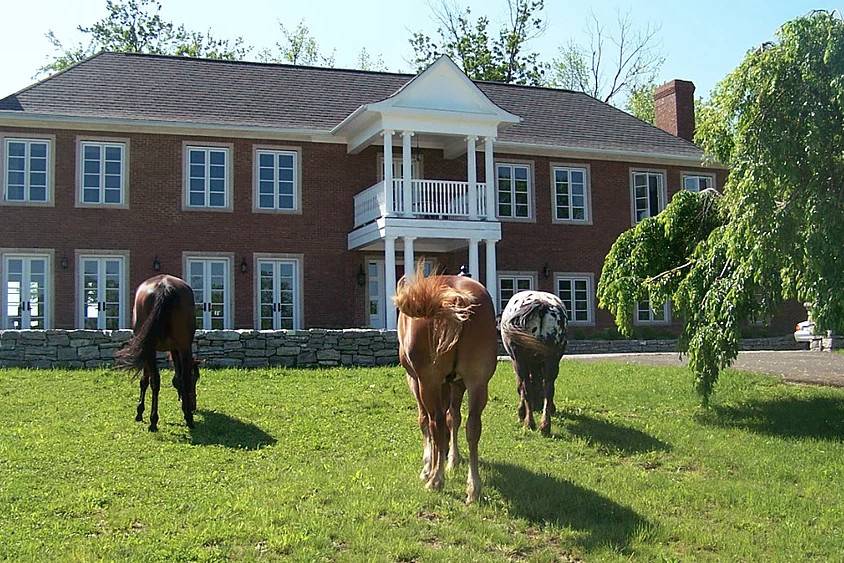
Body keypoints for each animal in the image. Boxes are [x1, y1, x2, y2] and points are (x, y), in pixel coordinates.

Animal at [115, 276, 201, 434]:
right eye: (195, 379)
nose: (194, 406)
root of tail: (164, 286)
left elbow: (145, 380)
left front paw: (140, 411)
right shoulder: (173, 349)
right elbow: (178, 379)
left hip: (157, 348)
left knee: (156, 381)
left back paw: (156, 420)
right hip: (184, 347)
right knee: (180, 379)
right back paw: (187, 418)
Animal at [396, 264, 502, 506]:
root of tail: (455, 297)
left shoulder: (416, 380)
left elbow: (426, 422)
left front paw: (429, 466)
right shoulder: (456, 383)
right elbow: (454, 418)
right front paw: (451, 458)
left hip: (428, 382)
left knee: (435, 422)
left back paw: (436, 479)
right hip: (477, 383)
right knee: (472, 427)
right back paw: (473, 488)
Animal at [502, 290, 568, 436]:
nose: (537, 406)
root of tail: (541, 305)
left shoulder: (516, 362)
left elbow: (521, 386)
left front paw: (521, 412)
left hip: (520, 360)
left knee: (526, 387)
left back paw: (529, 423)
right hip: (552, 360)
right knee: (549, 388)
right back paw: (545, 426)